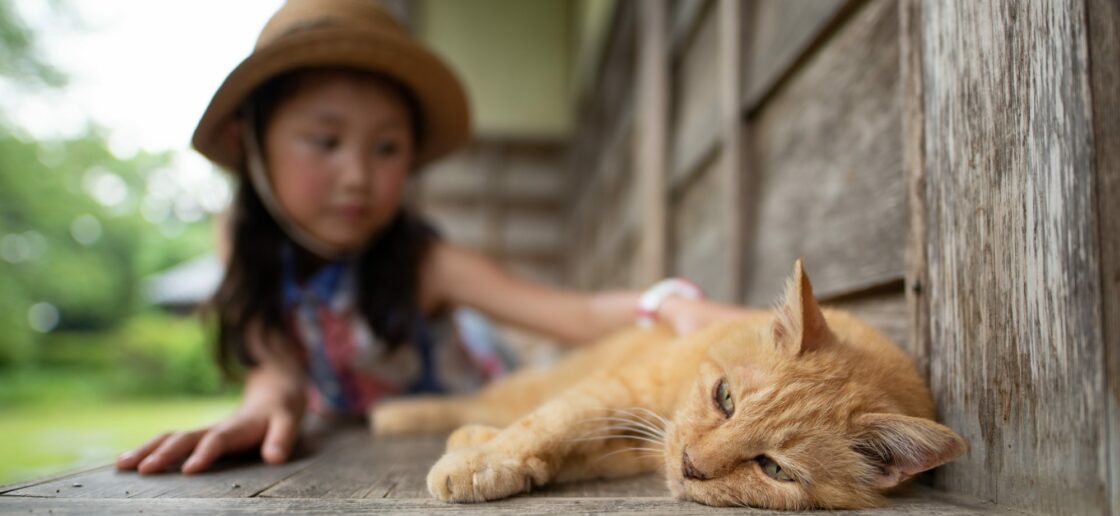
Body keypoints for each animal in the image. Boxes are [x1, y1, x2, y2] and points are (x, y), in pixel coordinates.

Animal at [371, 259, 967, 508]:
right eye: (725, 398)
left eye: (774, 468)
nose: (690, 466)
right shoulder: (617, 388)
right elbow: (554, 420)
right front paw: (483, 461)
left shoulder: (628, 445)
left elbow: (568, 447)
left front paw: (506, 463)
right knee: (483, 399)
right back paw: (397, 413)